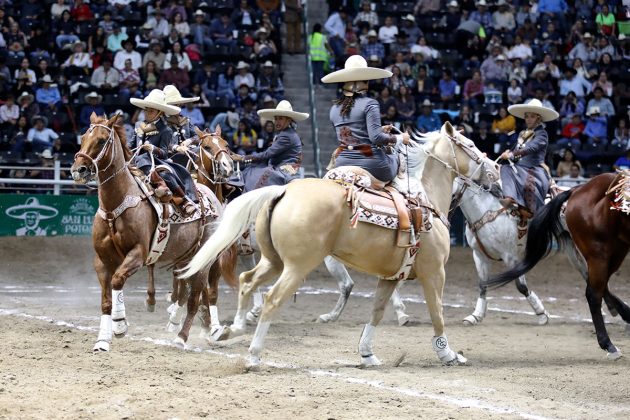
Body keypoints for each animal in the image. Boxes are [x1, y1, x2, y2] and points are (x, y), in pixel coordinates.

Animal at [69, 112, 237, 352]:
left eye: (101, 140)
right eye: (83, 137)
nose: (78, 170)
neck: (115, 207)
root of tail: (210, 198)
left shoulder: (138, 254)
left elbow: (117, 281)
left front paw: (120, 325)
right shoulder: (102, 261)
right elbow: (106, 301)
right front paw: (102, 340)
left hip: (205, 259)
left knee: (196, 296)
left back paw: (182, 336)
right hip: (185, 257)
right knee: (188, 292)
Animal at [184, 121, 504, 368]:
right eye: (471, 146)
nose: (496, 172)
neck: (423, 200)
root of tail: (283, 190)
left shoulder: (390, 277)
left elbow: (377, 311)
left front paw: (367, 354)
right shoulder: (434, 273)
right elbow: (437, 312)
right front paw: (448, 354)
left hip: (273, 260)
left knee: (247, 281)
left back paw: (232, 330)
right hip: (297, 266)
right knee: (272, 299)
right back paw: (253, 355)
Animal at [452, 176, 552, 326]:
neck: (486, 213)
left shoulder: (511, 258)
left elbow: (521, 286)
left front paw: (542, 314)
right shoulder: (479, 256)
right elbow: (483, 285)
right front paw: (476, 315)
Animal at [486, 172, 630, 360]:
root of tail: (577, 190)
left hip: (609, 252)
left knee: (596, 285)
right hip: (599, 254)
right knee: (593, 293)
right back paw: (609, 345)